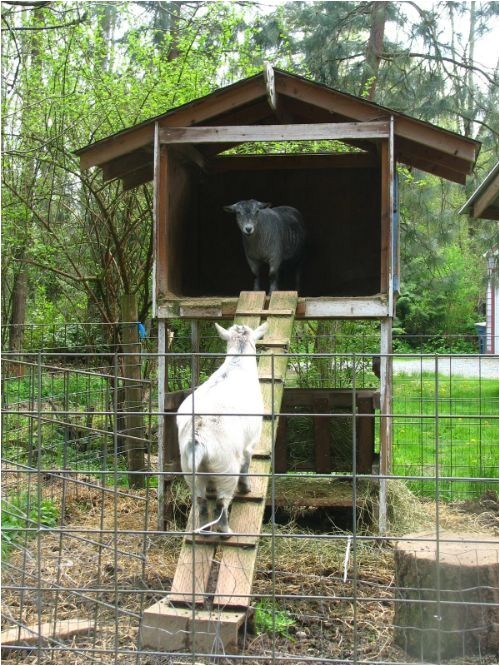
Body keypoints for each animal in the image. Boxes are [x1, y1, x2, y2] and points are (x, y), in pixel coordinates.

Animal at [176, 322, 267, 537]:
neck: (237, 363)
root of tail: (198, 436)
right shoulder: (251, 442)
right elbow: (247, 462)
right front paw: (246, 488)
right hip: (226, 468)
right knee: (221, 502)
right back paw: (225, 531)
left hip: (190, 471)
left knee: (200, 500)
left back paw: (204, 530)